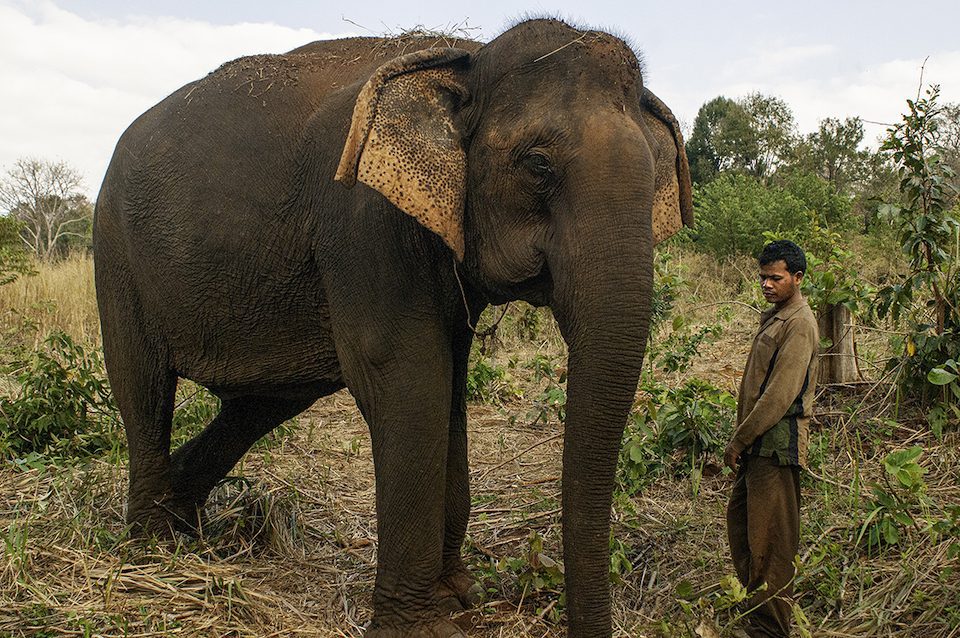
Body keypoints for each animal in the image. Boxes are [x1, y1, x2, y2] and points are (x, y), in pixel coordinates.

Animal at [92, 17, 688, 638]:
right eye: (538, 165)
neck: (468, 62)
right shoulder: (362, 221)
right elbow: (409, 378)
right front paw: (424, 625)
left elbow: (448, 386)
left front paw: (459, 595)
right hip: (115, 255)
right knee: (144, 387)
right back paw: (152, 550)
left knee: (267, 399)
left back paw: (182, 518)